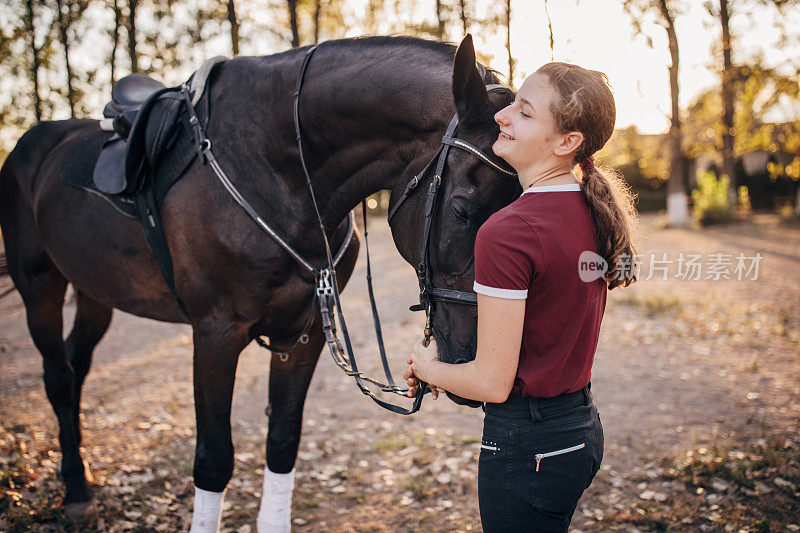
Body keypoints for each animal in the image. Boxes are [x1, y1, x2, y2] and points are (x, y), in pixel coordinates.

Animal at [0, 34, 520, 524]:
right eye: (462, 211)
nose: (486, 366)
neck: (280, 172)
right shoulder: (215, 332)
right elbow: (213, 461)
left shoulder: (303, 334)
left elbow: (283, 442)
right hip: (40, 288)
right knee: (57, 377)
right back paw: (76, 490)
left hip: (94, 292)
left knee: (75, 364)